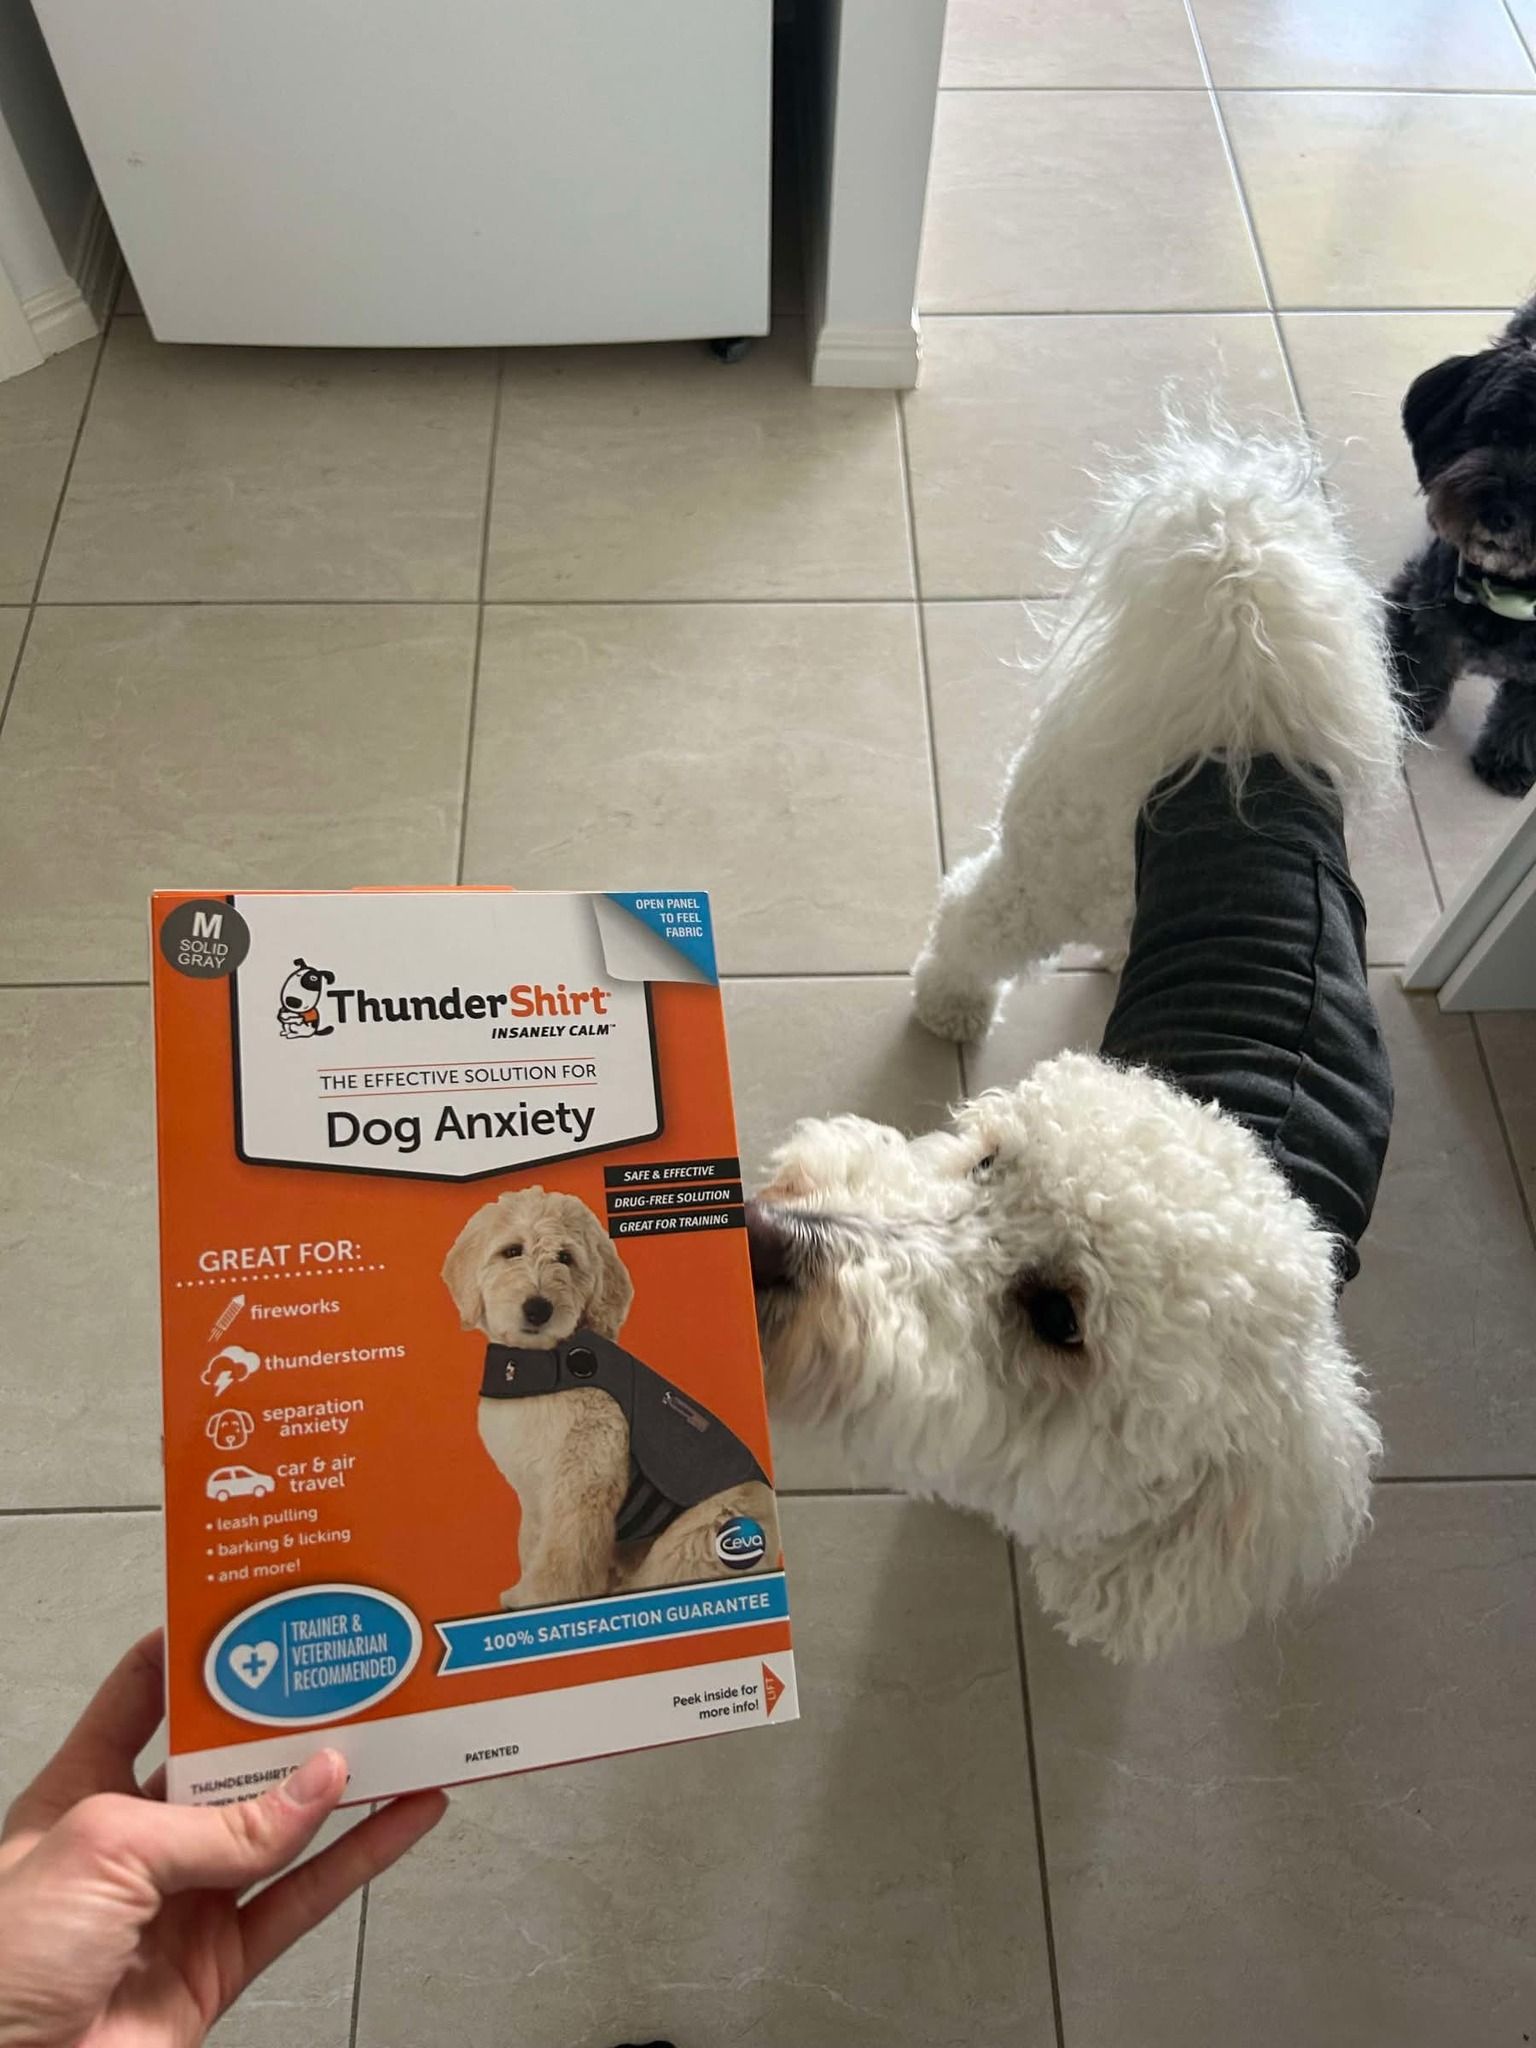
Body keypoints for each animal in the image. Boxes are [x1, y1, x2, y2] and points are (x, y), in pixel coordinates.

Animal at [443, 1185, 778, 1609]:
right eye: (512, 1251)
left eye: (565, 1258)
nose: (538, 1309)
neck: (542, 1366)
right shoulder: (536, 1495)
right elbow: (533, 1546)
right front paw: (524, 1594)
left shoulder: (581, 1486)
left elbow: (561, 1558)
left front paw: (546, 1601)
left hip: (692, 1542)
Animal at [748, 416, 1403, 1663]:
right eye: (989, 1157)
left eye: (1056, 1317)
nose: (771, 1240)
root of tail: (1244, 719)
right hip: (1055, 849)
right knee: (973, 908)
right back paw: (950, 998)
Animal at [1386, 299, 1536, 795]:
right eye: (1495, 431)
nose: (1499, 512)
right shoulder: (1420, 600)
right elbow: (1424, 655)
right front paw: (1406, 711)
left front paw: (1508, 760)